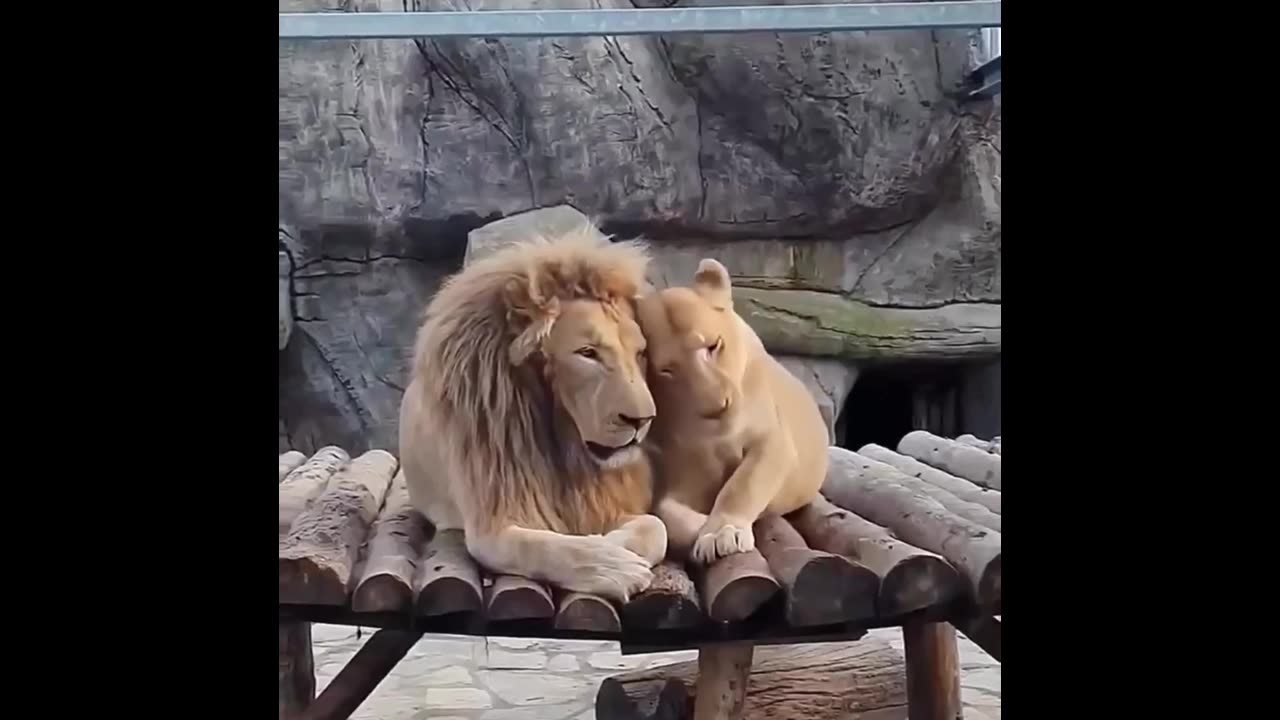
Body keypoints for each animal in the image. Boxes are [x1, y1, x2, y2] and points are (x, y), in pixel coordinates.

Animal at [399, 226, 670, 602]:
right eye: (587, 353)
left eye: (640, 353)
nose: (642, 421)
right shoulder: (492, 523)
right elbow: (548, 548)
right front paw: (613, 565)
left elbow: (656, 528)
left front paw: (610, 543)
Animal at [632, 257, 829, 566]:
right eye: (667, 370)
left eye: (713, 346)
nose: (717, 407)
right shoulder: (684, 472)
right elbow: (666, 513)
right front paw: (701, 529)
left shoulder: (774, 441)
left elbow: (743, 484)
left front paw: (723, 531)